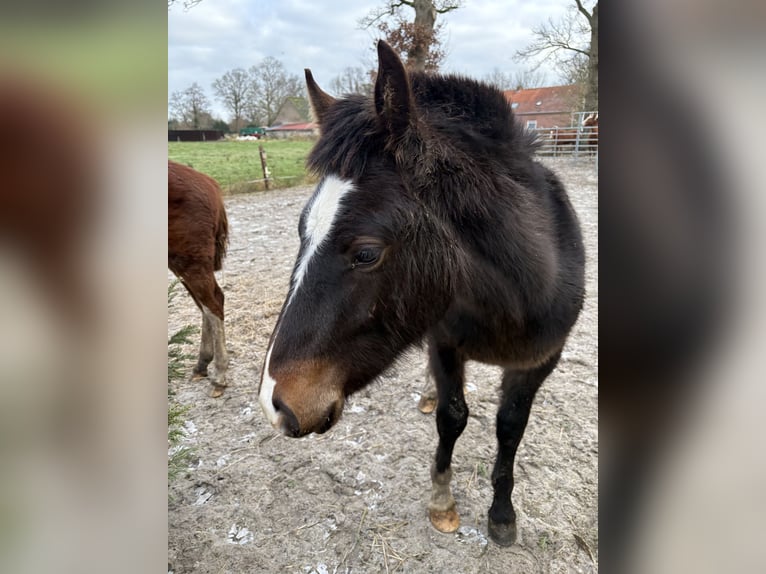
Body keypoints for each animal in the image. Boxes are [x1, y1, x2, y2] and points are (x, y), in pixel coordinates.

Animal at [168, 160, 228, 398]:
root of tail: (209, 183)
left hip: (189, 259)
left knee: (213, 303)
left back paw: (219, 376)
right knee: (205, 303)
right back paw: (202, 365)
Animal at [258, 41, 588, 548]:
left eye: (367, 253)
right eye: (301, 231)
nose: (277, 404)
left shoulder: (538, 362)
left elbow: (509, 428)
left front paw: (502, 514)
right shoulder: (445, 344)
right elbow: (453, 416)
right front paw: (443, 502)